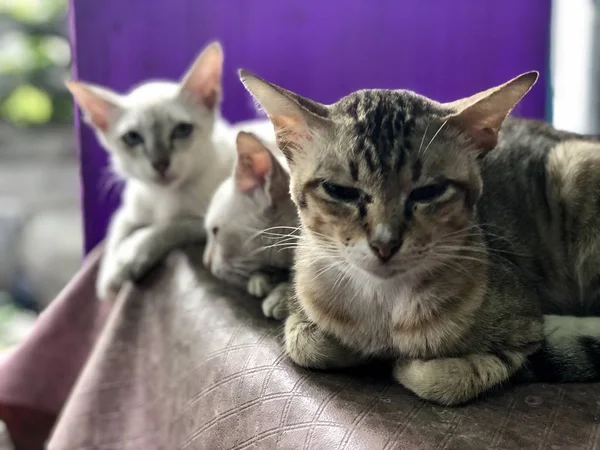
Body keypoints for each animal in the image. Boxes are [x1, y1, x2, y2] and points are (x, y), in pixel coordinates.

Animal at [65, 42, 234, 300]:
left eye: (182, 130)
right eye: (132, 137)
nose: (160, 163)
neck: (163, 197)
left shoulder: (206, 224)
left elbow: (167, 228)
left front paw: (127, 259)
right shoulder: (128, 211)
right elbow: (116, 230)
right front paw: (108, 279)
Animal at [239, 68, 600, 406]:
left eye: (429, 191)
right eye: (339, 191)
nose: (384, 244)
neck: (382, 310)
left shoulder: (525, 323)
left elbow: (448, 376)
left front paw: (406, 364)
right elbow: (305, 343)